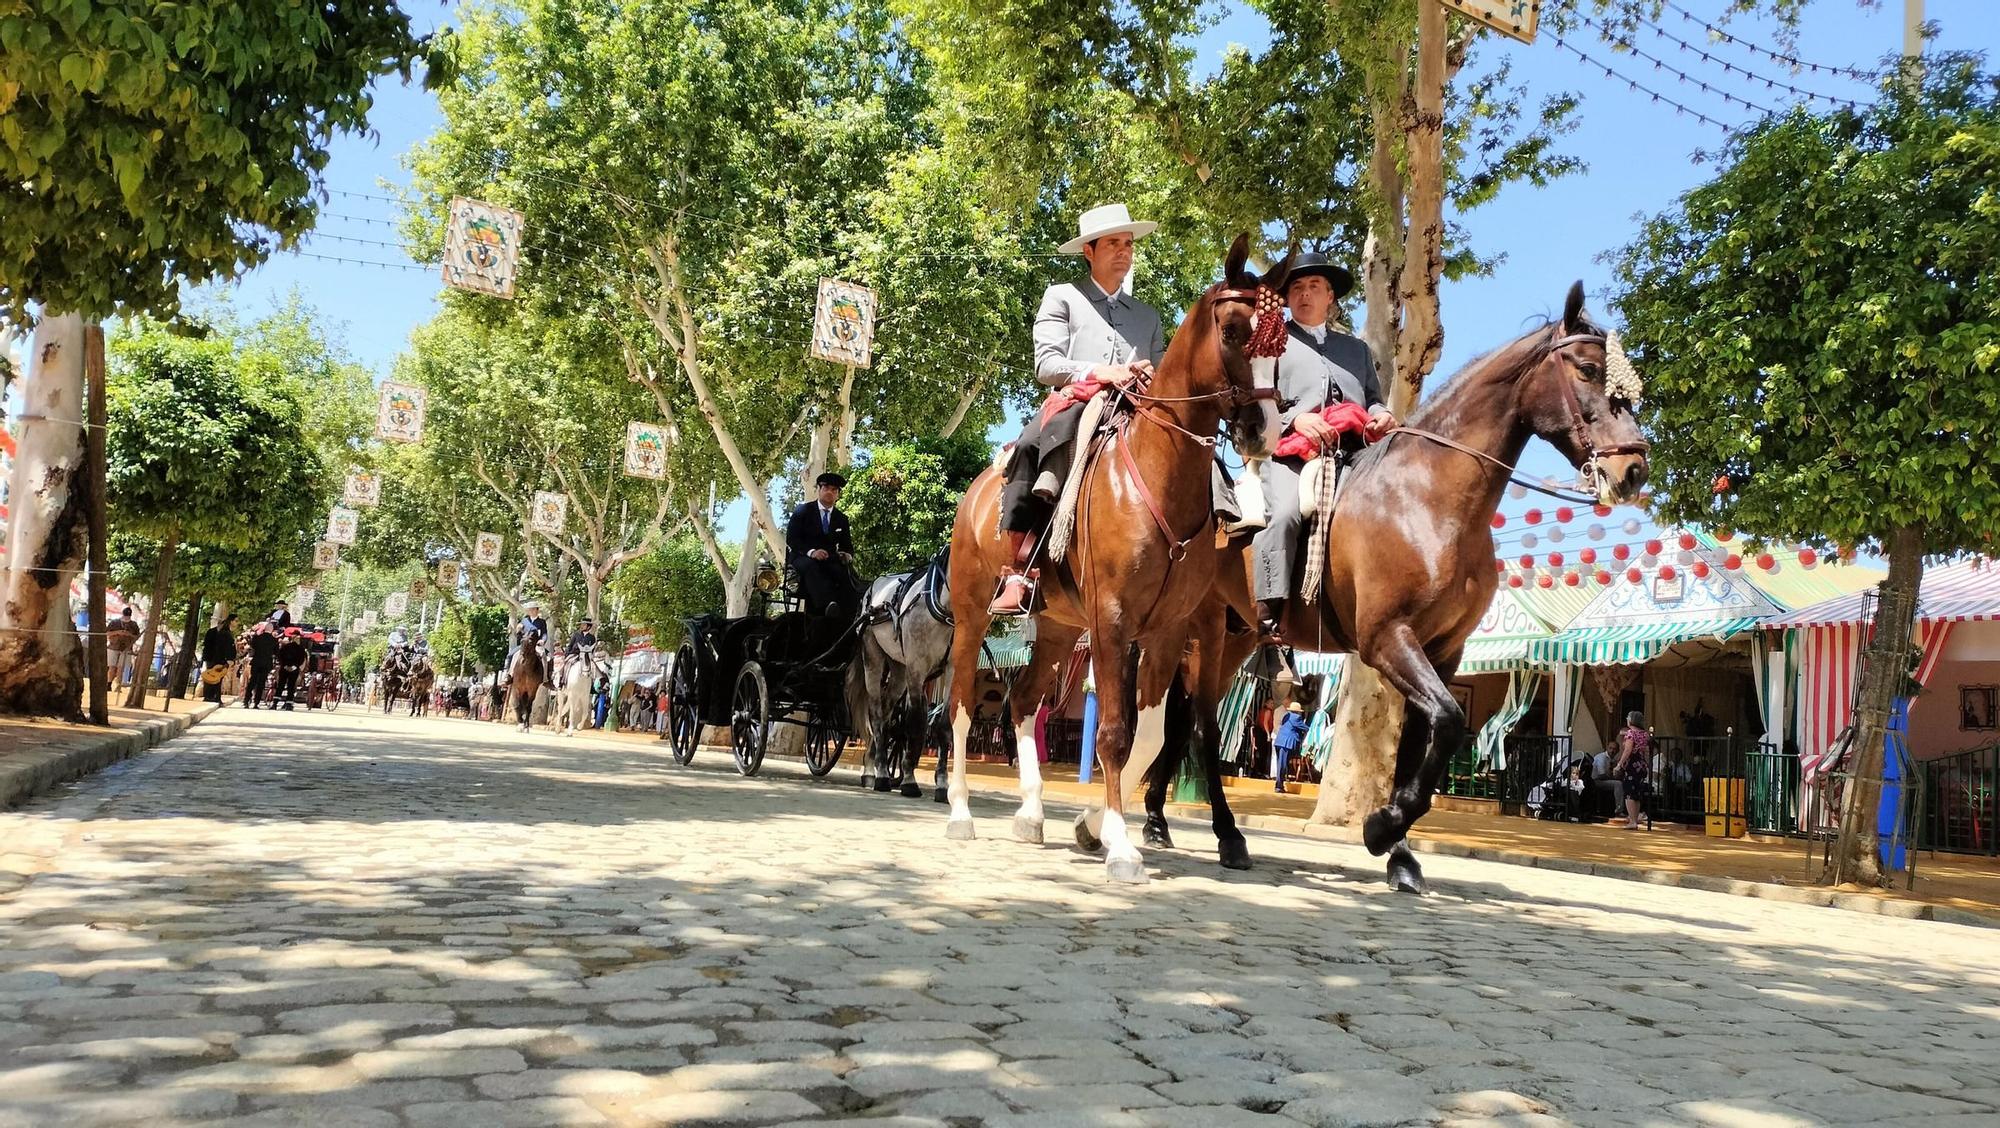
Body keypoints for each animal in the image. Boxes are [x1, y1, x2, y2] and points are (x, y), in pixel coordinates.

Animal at [844, 548, 952, 796]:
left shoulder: (954, 669)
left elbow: (942, 726)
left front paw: (942, 784)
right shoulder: (916, 668)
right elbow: (916, 723)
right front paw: (909, 779)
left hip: (899, 670)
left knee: (885, 715)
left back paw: (872, 768)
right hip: (873, 659)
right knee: (876, 714)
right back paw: (881, 775)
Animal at [940, 234, 1280, 880]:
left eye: (1284, 340)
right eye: (1232, 331)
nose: (1261, 430)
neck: (1158, 473)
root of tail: (978, 491)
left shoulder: (1168, 631)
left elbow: (1148, 736)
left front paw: (1093, 826)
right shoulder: (1114, 622)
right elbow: (1117, 733)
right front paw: (1121, 844)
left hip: (1054, 626)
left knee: (1023, 700)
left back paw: (1030, 813)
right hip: (973, 615)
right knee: (964, 705)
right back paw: (962, 812)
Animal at [1168, 282, 1648, 892]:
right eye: (1587, 370)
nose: (1634, 470)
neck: (1429, 498)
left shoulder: (1442, 651)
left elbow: (1423, 741)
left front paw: (1399, 854)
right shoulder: (1387, 639)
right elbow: (1447, 722)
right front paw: (1380, 829)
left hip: (1236, 635)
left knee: (1185, 718)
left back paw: (1162, 822)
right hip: (1200, 631)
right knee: (1201, 725)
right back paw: (1220, 835)